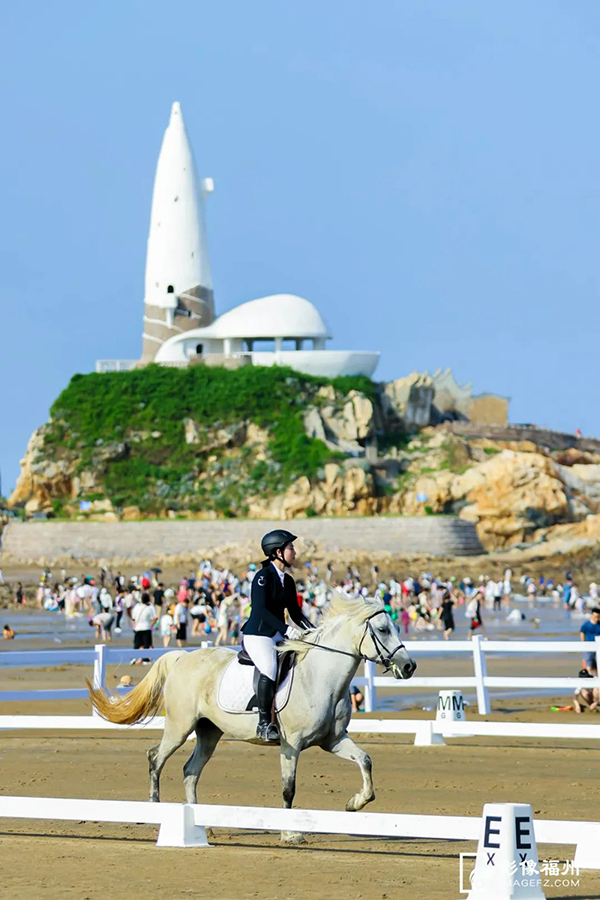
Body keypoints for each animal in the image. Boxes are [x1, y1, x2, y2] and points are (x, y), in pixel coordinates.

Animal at [88, 591, 417, 842]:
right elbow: (288, 789)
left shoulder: (333, 740)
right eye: (383, 630)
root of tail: (183, 657)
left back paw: (202, 824)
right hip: (180, 727)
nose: (409, 666)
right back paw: (155, 811)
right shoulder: (291, 745)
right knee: (156, 758)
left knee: (190, 770)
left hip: (209, 732)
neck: (321, 677)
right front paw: (290, 833)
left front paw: (354, 803)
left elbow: (365, 761)